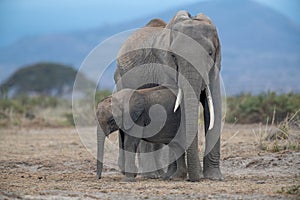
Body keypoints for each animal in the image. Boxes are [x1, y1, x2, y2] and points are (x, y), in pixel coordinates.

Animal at [113, 10, 221, 180]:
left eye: (210, 53)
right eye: (174, 56)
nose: (196, 177)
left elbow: (214, 105)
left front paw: (214, 177)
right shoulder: (164, 66)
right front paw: (176, 176)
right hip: (121, 80)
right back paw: (150, 175)